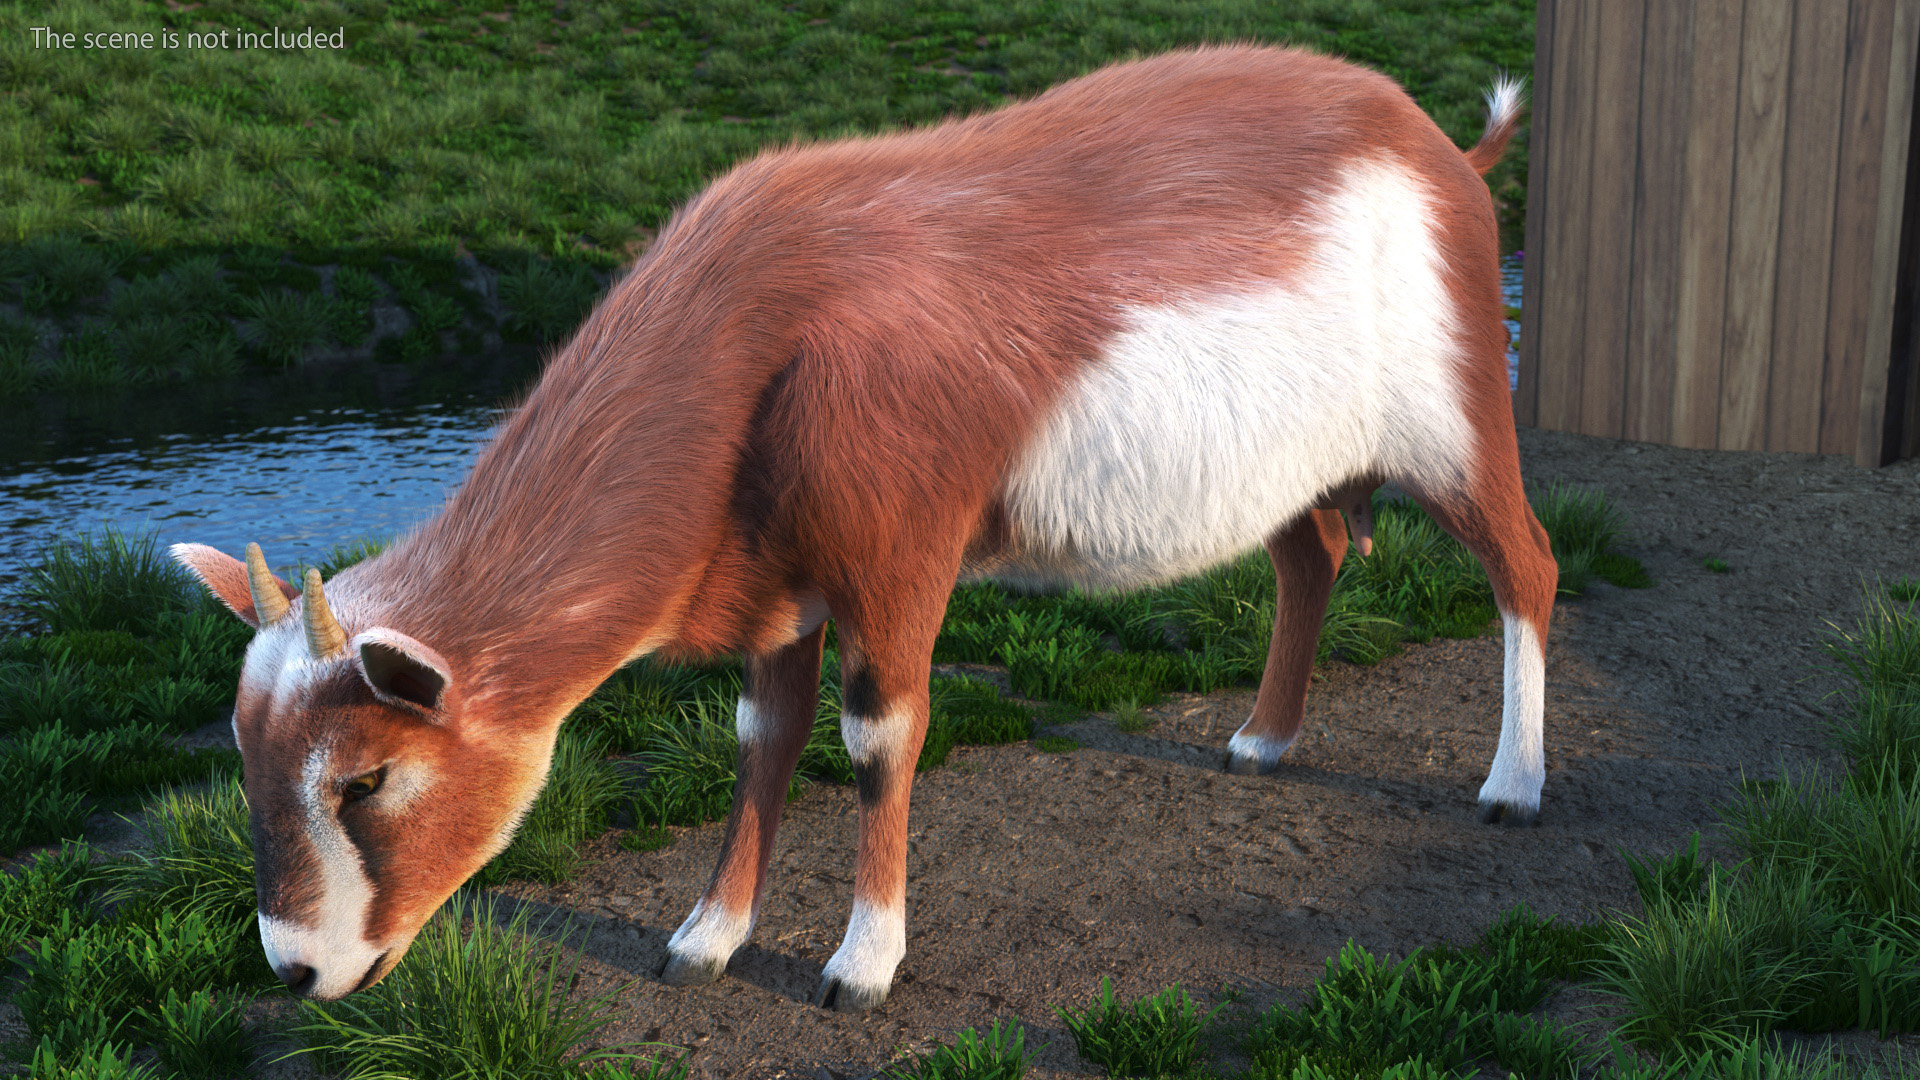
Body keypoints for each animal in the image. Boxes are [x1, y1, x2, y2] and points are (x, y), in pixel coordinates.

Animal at [176, 44, 1559, 1006]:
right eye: (242, 753)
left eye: (366, 777)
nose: (294, 971)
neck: (759, 316)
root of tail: (1439, 142)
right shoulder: (779, 588)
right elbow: (762, 739)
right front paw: (706, 940)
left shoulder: (900, 562)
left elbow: (879, 740)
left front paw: (863, 965)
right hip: (1290, 464)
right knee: (1311, 556)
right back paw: (1266, 742)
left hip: (1457, 423)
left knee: (1526, 568)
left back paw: (1514, 783)